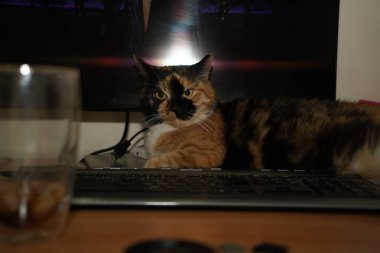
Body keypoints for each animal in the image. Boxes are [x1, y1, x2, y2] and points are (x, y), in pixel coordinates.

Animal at [134, 54, 380, 181]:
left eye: (188, 92)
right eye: (160, 95)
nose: (176, 108)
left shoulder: (208, 153)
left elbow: (170, 158)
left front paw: (149, 162)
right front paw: (139, 150)